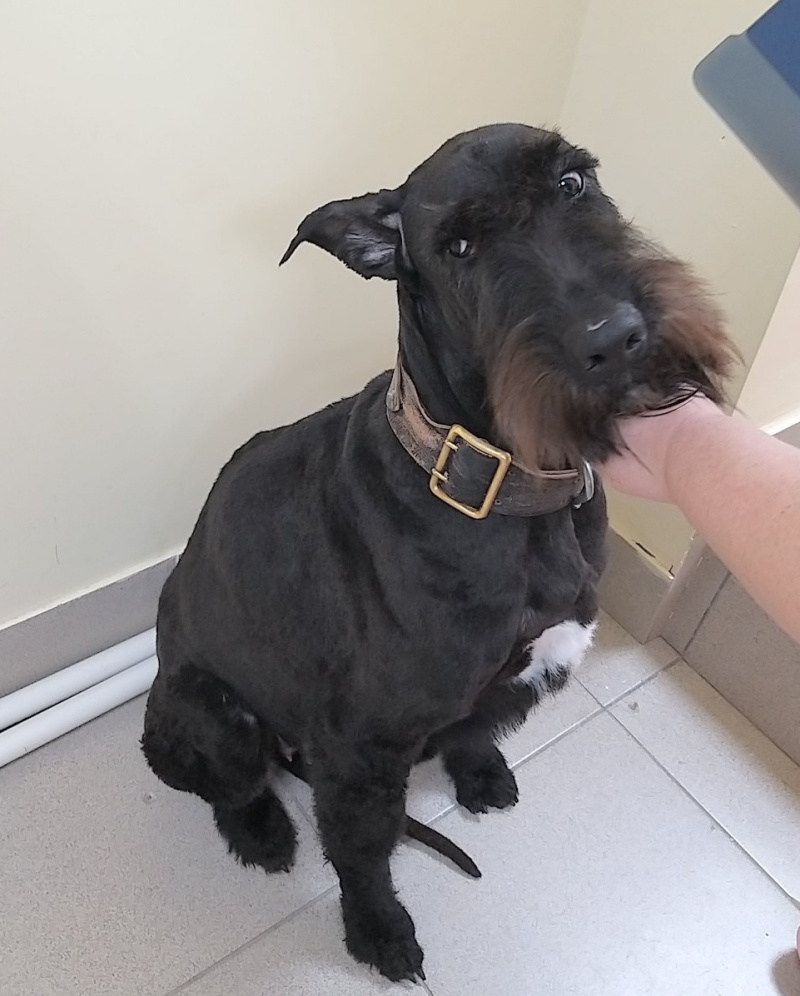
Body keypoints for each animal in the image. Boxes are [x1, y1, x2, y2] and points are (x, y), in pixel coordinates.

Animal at [141, 123, 734, 983]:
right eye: (459, 247)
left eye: (574, 182)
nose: (616, 336)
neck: (504, 484)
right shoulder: (360, 752)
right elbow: (363, 856)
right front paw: (379, 933)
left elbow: (473, 726)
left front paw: (479, 769)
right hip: (209, 716)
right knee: (233, 787)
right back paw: (263, 833)